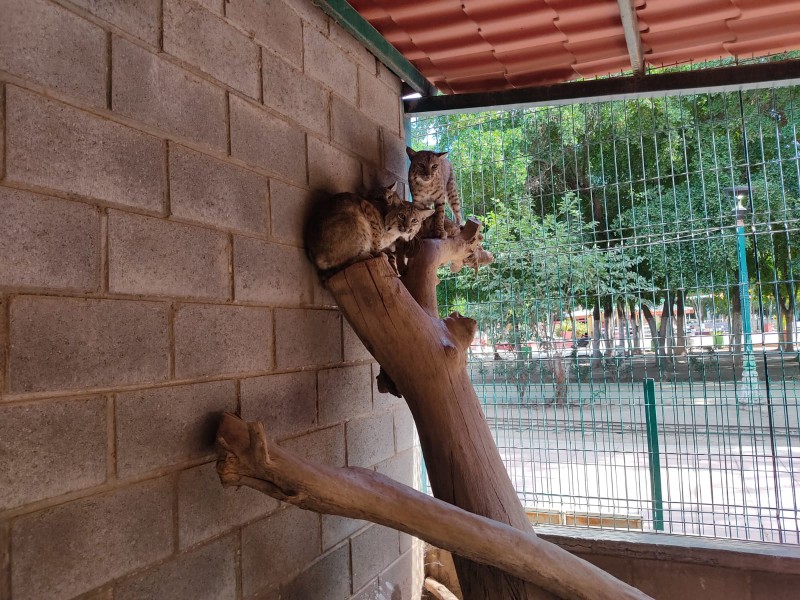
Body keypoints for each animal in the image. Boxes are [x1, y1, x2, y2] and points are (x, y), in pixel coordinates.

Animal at [304, 184, 432, 278]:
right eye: (401, 216)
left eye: (415, 220)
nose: (406, 228)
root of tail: (314, 256)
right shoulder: (367, 209)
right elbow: (376, 236)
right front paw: (378, 253)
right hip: (358, 220)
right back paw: (367, 255)